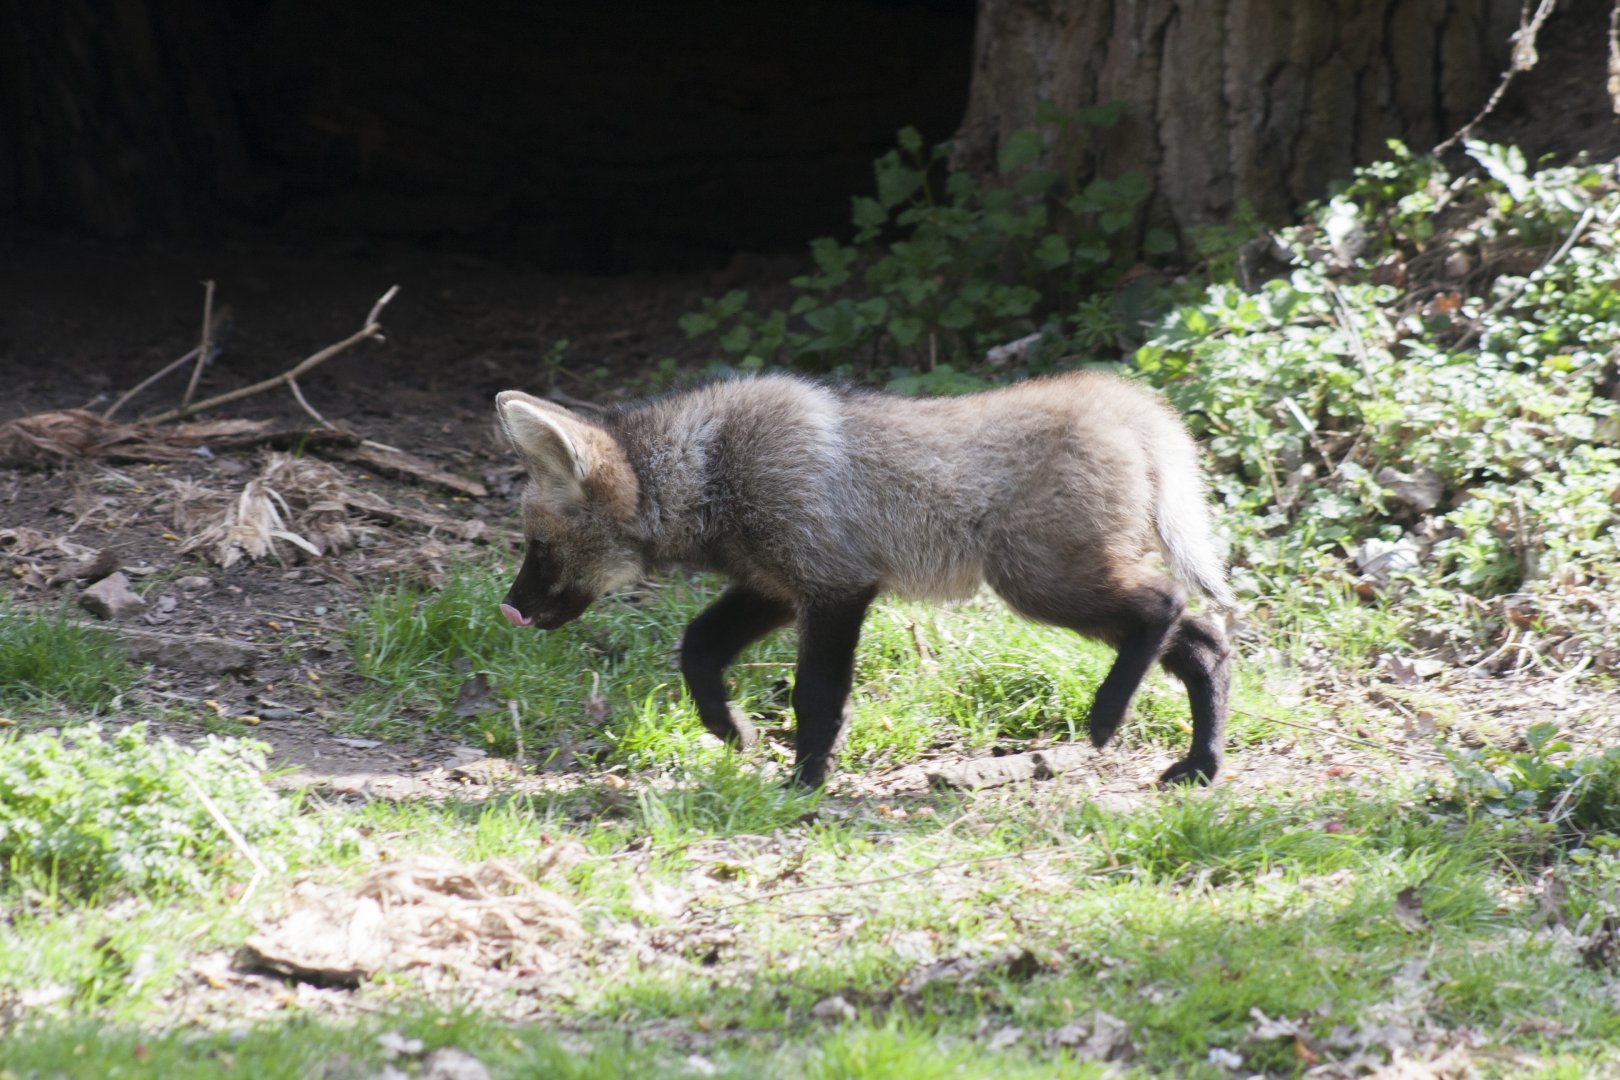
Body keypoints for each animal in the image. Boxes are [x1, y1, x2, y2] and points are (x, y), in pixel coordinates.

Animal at [494, 372, 1233, 788]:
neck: (711, 472)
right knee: (1206, 644)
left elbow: (815, 698)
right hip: (1058, 584)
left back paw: (1108, 716)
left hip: (1038, 585)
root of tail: (1125, 401)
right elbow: (697, 648)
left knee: (1167, 603)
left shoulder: (836, 588)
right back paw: (1202, 766)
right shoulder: (777, 587)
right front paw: (733, 731)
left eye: (539, 549)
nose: (509, 610)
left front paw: (804, 783)